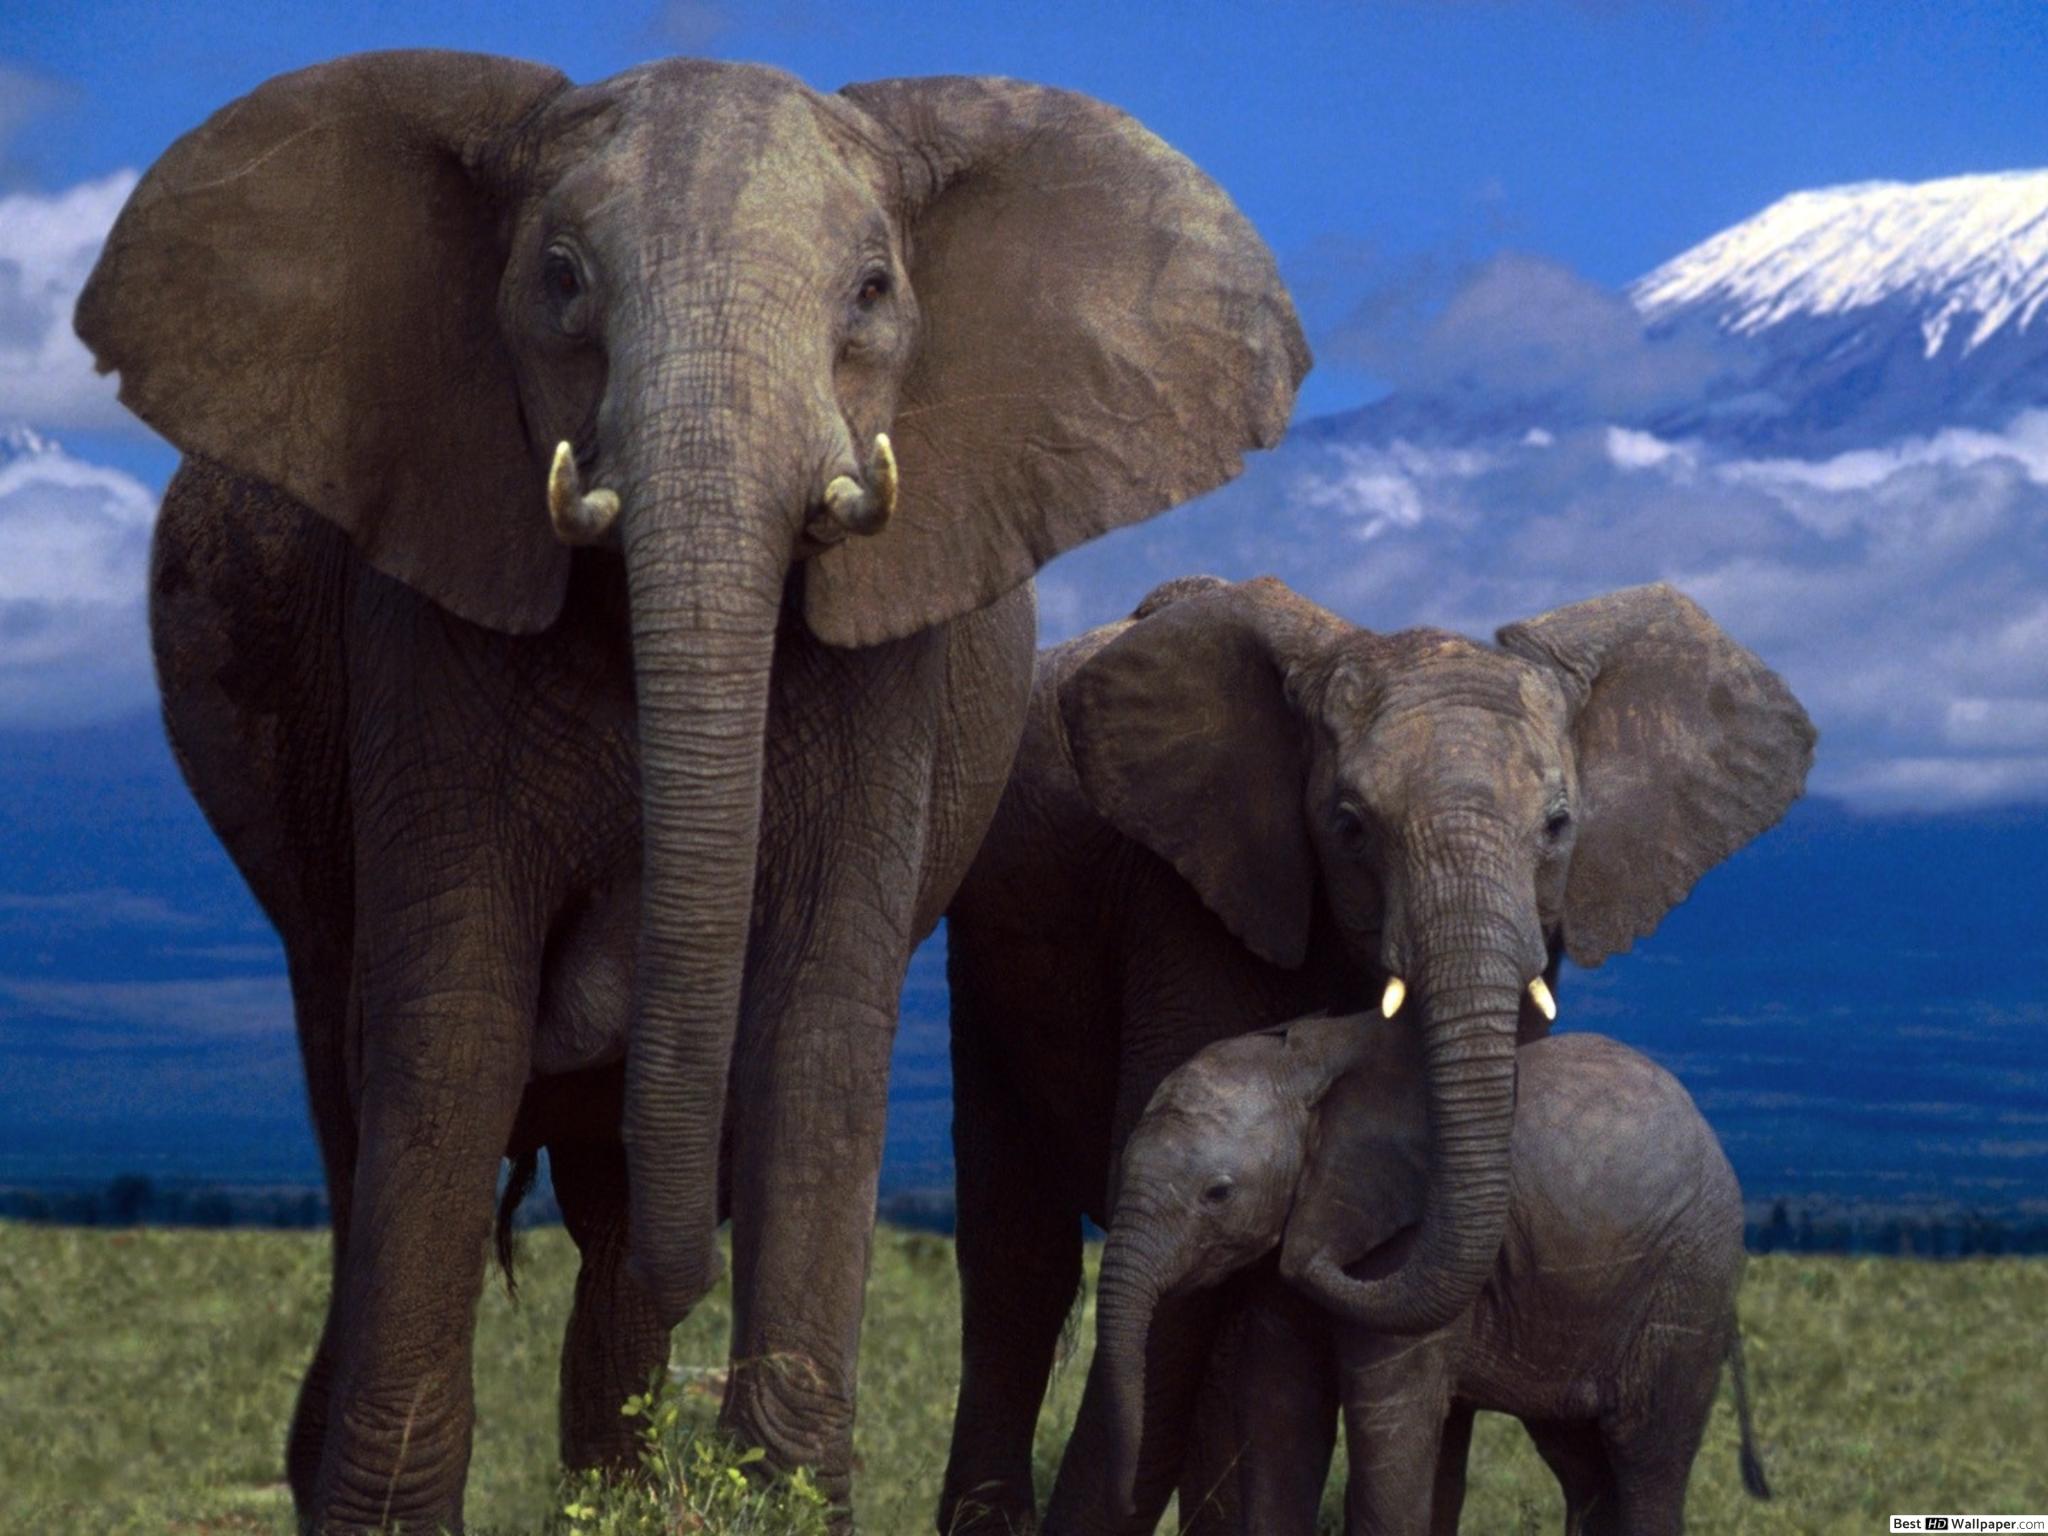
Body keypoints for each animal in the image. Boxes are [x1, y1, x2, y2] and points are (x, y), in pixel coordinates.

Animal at [74, 51, 1307, 1532]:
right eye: (559, 278)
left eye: (872, 290)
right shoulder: (426, 619)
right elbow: (453, 1025)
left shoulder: (887, 669)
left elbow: (814, 1031)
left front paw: (770, 1489)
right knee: (356, 1090)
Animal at [1094, 1015, 1772, 1536]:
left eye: (1218, 1193)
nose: (1124, 1500)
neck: (1304, 1061)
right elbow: (1277, 1410)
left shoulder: (1401, 1238)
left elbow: (1389, 1423)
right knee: (1583, 1461)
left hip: (1688, 1281)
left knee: (1646, 1458)